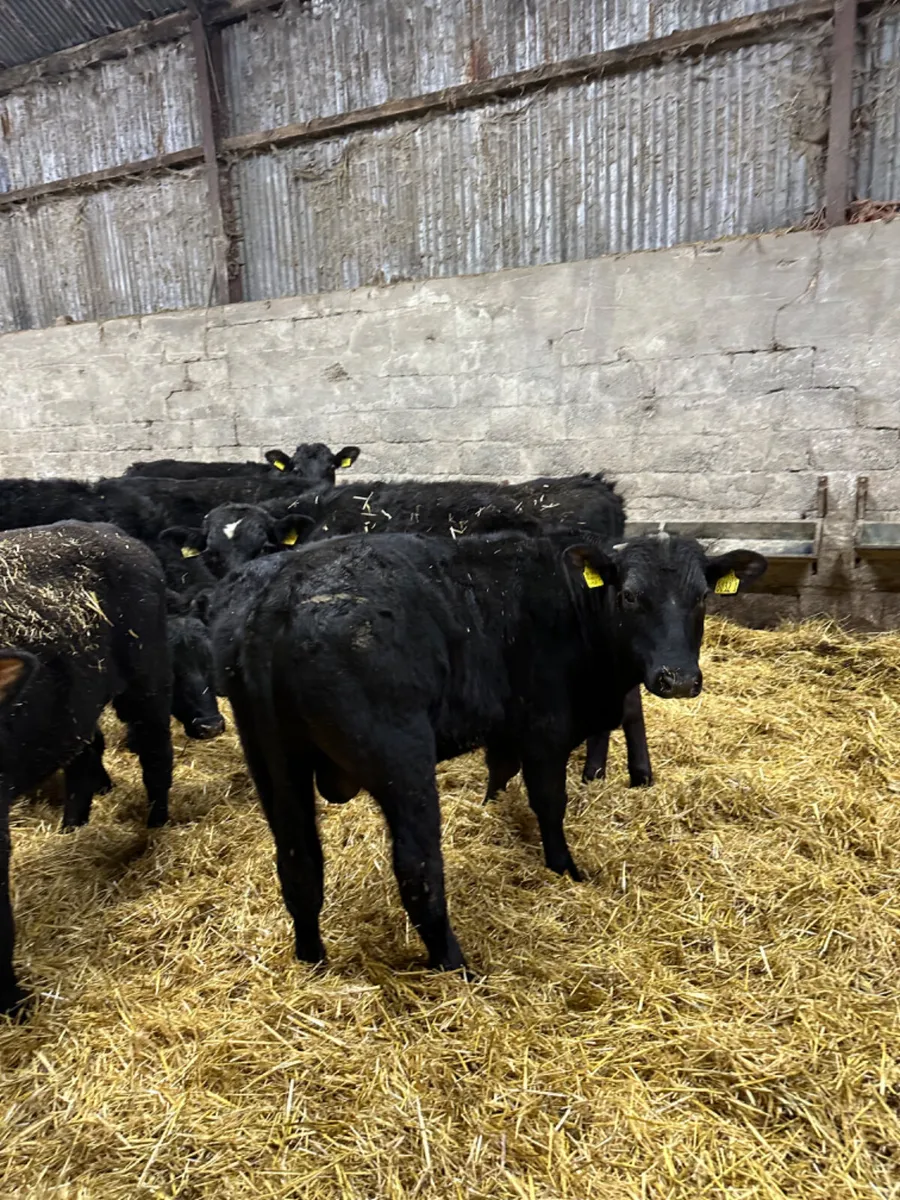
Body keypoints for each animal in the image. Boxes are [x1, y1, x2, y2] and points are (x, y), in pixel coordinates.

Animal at [0, 522, 174, 1017]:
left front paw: (14, 1005)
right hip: (74, 704)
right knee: (84, 757)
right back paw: (71, 831)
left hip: (147, 674)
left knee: (156, 751)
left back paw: (157, 825)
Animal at [209, 529, 766, 975]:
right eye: (630, 596)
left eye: (701, 597)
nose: (679, 679)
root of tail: (278, 598)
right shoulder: (545, 730)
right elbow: (549, 803)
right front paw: (565, 868)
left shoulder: (505, 729)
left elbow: (499, 770)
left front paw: (493, 807)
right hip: (400, 759)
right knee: (418, 869)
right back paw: (457, 968)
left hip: (274, 762)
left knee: (299, 864)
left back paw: (313, 964)